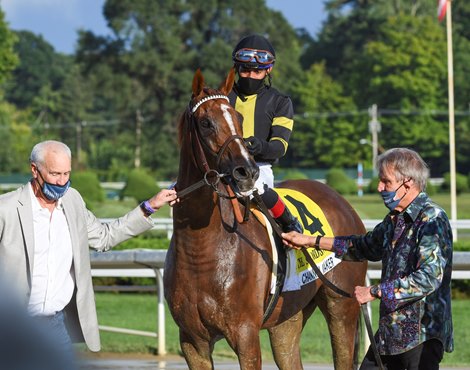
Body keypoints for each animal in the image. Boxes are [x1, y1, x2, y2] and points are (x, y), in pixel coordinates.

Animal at [163, 68, 370, 368]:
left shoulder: (245, 334)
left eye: (237, 119)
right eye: (205, 122)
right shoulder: (192, 341)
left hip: (342, 304)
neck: (201, 249)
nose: (246, 171)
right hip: (287, 317)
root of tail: (343, 202)